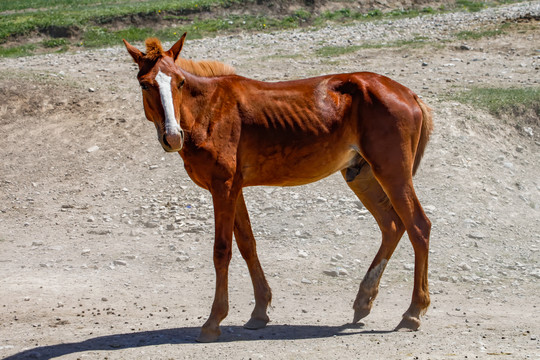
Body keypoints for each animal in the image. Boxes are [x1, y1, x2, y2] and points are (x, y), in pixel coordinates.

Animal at [123, 33, 434, 344]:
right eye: (144, 84)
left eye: (180, 83)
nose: (173, 136)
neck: (209, 110)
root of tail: (408, 94)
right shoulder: (234, 189)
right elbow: (247, 244)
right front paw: (259, 312)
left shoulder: (223, 187)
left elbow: (222, 250)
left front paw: (213, 321)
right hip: (361, 176)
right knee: (392, 225)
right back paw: (363, 301)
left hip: (393, 174)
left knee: (418, 226)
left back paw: (413, 312)